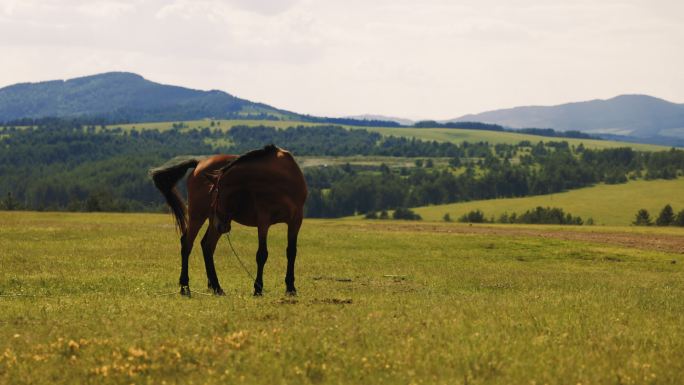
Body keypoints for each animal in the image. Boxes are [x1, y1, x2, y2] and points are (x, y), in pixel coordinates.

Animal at [153, 146, 310, 296]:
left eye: (215, 193)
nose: (221, 225)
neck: (281, 182)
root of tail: (199, 164)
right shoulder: (263, 220)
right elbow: (262, 254)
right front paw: (258, 289)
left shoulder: (296, 221)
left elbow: (291, 252)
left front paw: (290, 288)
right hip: (200, 216)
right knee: (187, 244)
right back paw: (185, 287)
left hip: (213, 221)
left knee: (207, 246)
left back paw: (216, 287)